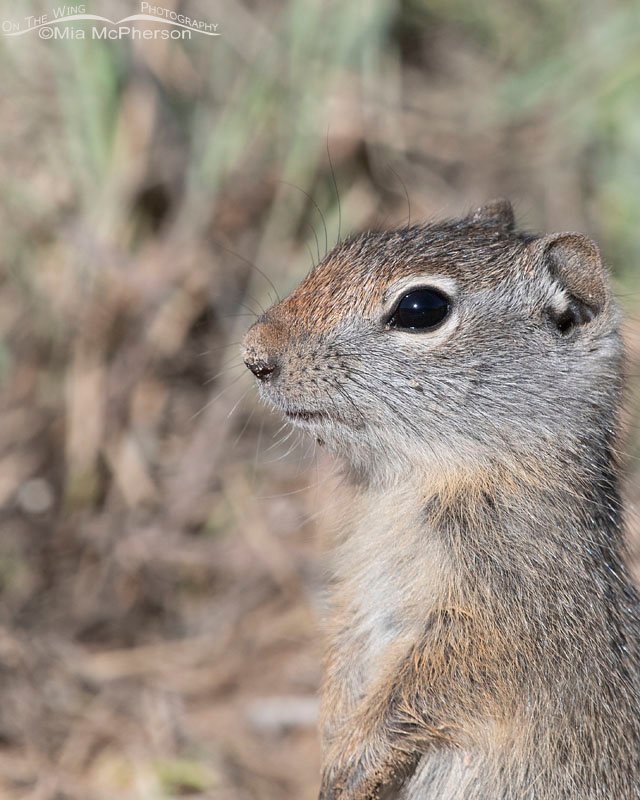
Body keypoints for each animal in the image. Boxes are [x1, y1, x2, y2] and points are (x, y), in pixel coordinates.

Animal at [242, 200, 640, 799]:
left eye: (420, 309)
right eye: (347, 248)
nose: (254, 353)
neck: (413, 480)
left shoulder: (495, 624)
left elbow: (423, 693)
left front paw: (353, 764)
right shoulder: (355, 596)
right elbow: (344, 656)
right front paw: (332, 751)